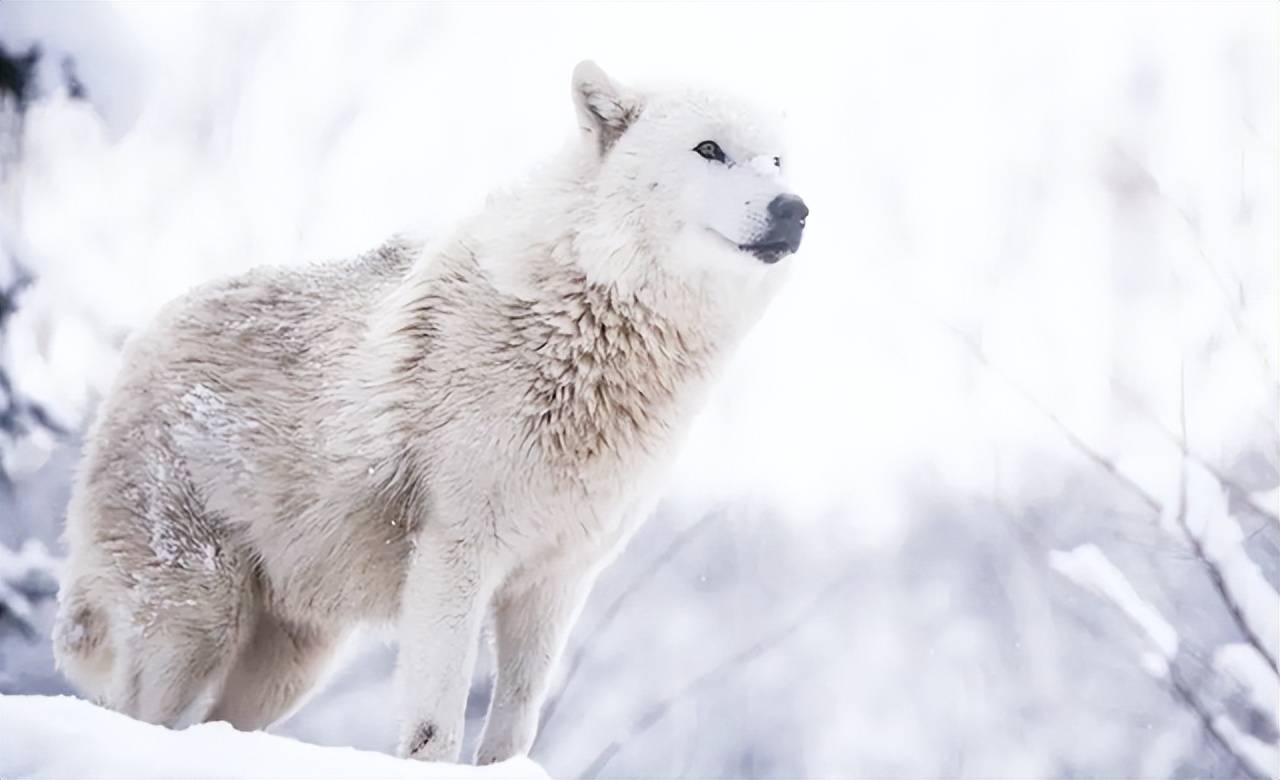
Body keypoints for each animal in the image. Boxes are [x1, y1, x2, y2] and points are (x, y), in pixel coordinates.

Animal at [55, 60, 808, 758]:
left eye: (777, 161)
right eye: (709, 149)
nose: (794, 209)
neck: (589, 323)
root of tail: (138, 345)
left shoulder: (556, 580)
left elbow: (516, 723)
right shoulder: (456, 556)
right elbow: (433, 725)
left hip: (291, 664)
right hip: (198, 620)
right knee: (139, 715)